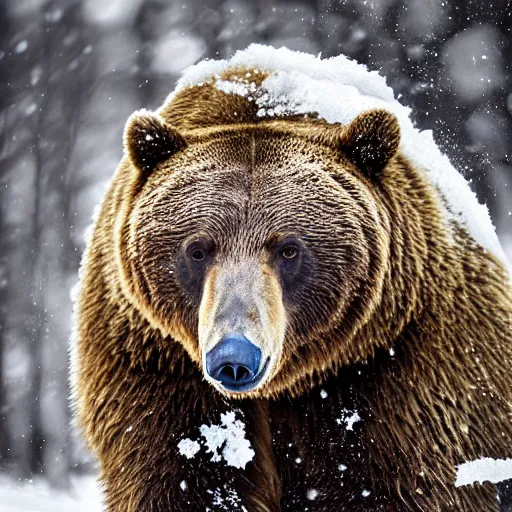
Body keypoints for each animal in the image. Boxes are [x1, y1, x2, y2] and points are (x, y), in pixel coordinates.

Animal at [73, 45, 512, 512]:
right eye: (197, 248)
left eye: (288, 249)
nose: (234, 356)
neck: (287, 384)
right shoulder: (156, 363)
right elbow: (182, 475)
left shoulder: (396, 365)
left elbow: (399, 481)